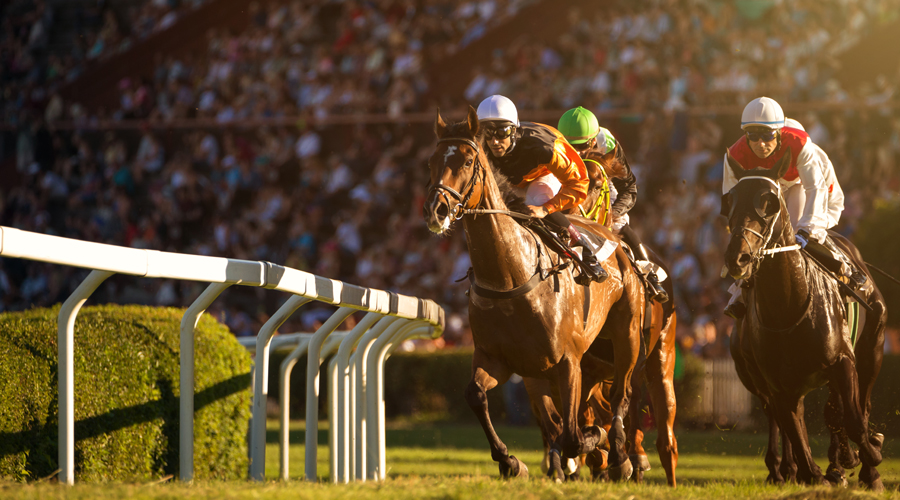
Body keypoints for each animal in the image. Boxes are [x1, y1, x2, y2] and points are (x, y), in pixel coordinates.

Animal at [424, 106, 644, 480]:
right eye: (432, 161)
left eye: (467, 160)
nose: (436, 210)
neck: (510, 277)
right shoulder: (498, 359)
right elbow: (475, 394)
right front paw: (510, 460)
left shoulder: (568, 362)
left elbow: (572, 437)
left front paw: (593, 445)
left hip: (626, 334)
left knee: (620, 395)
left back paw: (619, 457)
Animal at [716, 150, 884, 490]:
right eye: (729, 201)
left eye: (769, 202)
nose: (738, 258)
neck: (789, 304)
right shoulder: (776, 384)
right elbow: (794, 426)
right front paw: (811, 472)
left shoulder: (843, 360)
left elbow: (853, 417)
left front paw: (868, 460)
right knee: (792, 416)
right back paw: (793, 468)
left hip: (872, 347)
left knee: (856, 406)